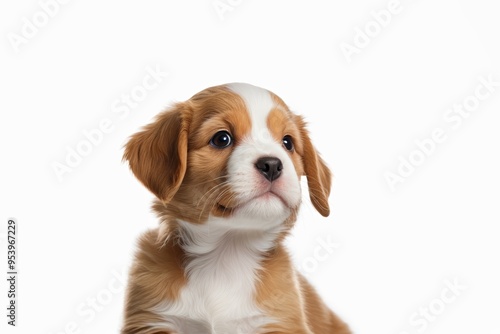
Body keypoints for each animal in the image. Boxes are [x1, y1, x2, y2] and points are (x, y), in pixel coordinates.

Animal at [122, 83, 348, 334]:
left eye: (287, 142)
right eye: (222, 139)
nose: (272, 165)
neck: (227, 254)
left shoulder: (280, 321)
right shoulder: (152, 320)